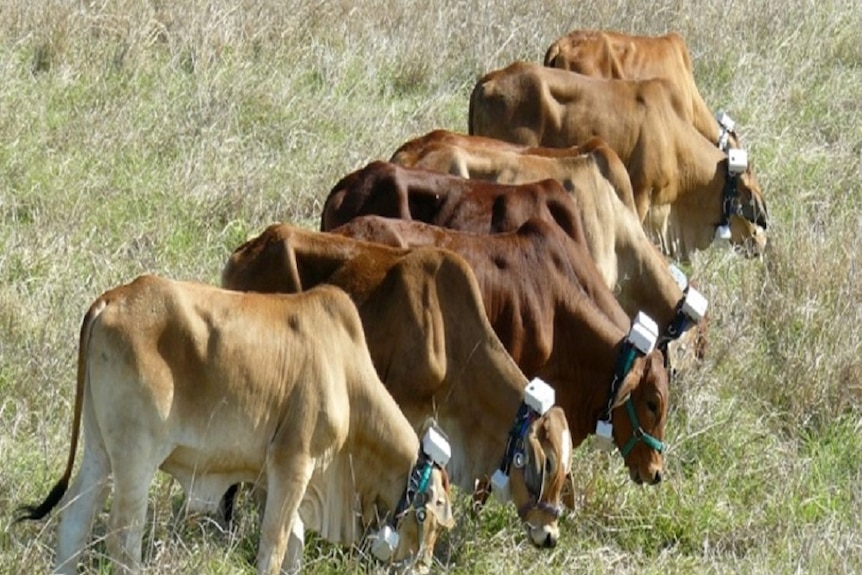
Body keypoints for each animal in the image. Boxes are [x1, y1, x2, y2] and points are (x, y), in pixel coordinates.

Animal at [15, 276, 460, 572]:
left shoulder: (279, 477)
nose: (422, 567)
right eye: (438, 517)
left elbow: (294, 547)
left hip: (99, 452)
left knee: (74, 525)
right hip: (134, 459)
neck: (347, 377)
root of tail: (113, 299)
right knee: (122, 540)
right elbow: (273, 549)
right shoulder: (293, 464)